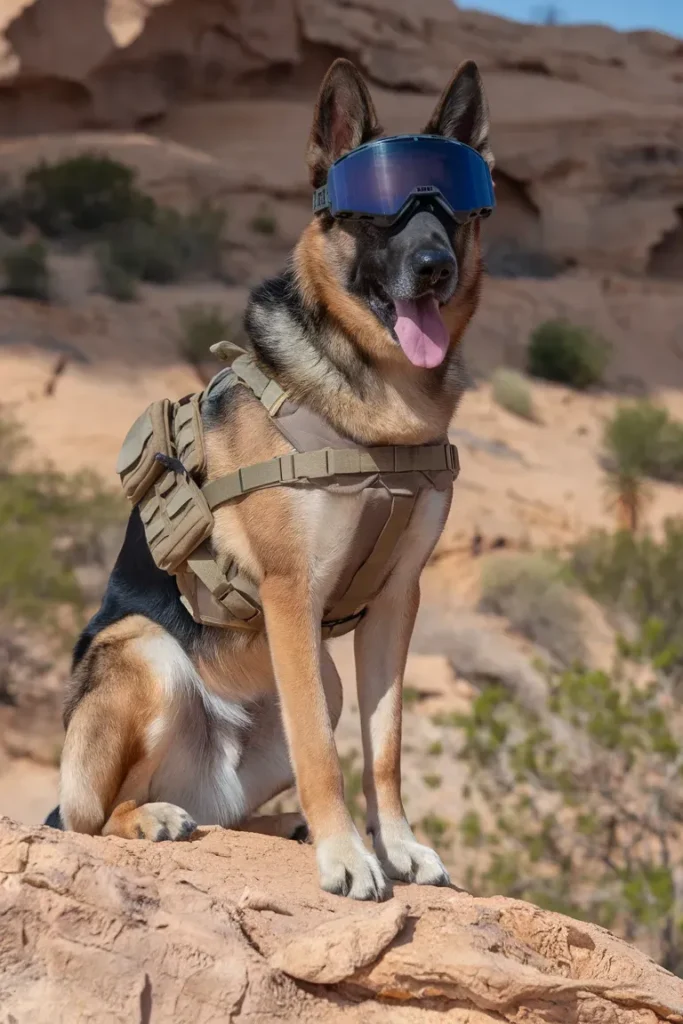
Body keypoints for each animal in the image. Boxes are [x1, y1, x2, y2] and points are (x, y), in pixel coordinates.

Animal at [53, 59, 491, 901]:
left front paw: (396, 846)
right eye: (380, 212)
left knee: (234, 807)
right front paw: (347, 856)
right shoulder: (293, 591)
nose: (436, 270)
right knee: (92, 817)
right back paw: (151, 818)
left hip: (315, 683)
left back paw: (277, 825)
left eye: (452, 208)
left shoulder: (397, 600)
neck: (378, 403)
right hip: (146, 654)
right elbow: (323, 751)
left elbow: (384, 746)